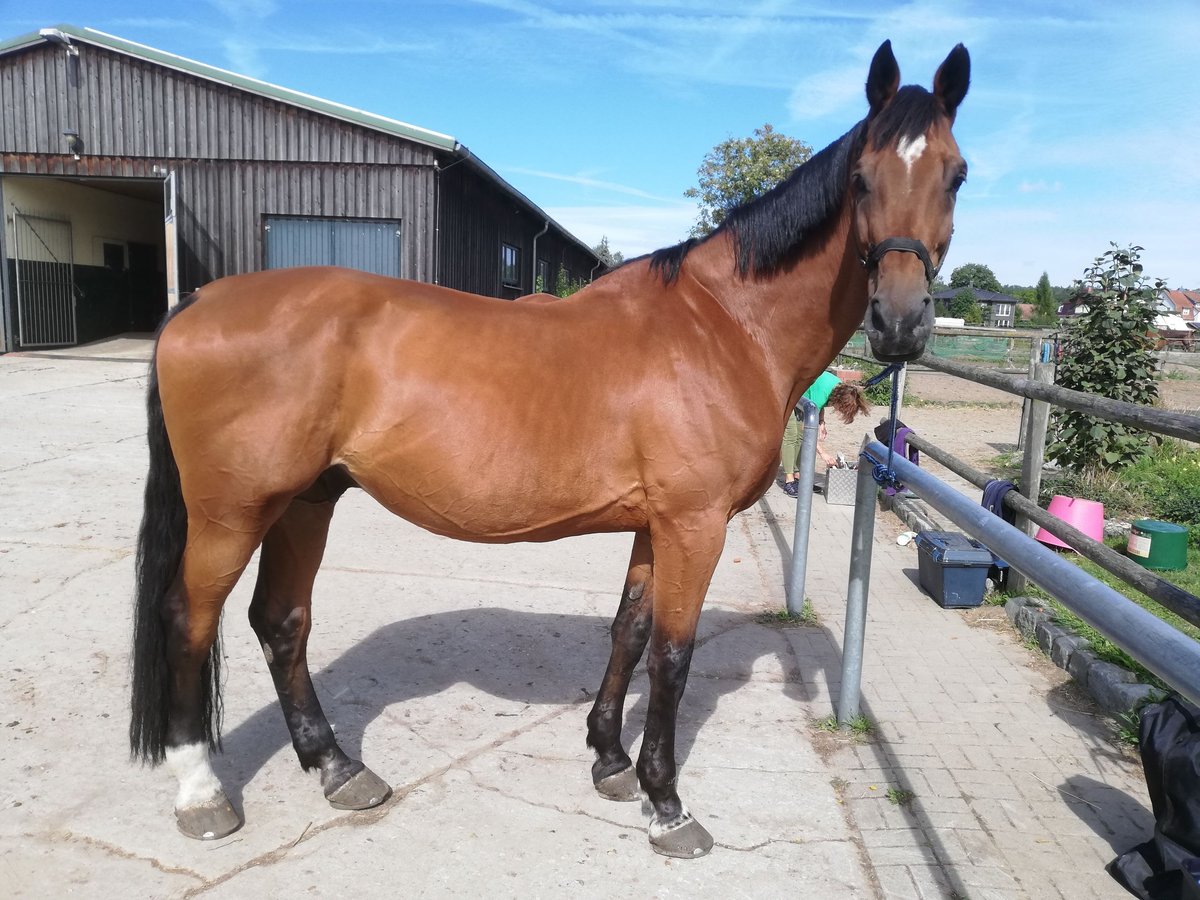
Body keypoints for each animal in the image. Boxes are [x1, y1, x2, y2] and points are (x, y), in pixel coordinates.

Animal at [131, 40, 969, 859]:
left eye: (956, 175)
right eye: (861, 178)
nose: (900, 323)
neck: (724, 326)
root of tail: (199, 302)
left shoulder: (656, 525)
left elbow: (630, 631)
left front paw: (611, 761)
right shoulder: (695, 525)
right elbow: (672, 656)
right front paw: (667, 805)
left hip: (306, 500)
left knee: (281, 621)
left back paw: (337, 768)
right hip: (233, 513)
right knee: (188, 619)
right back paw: (201, 793)